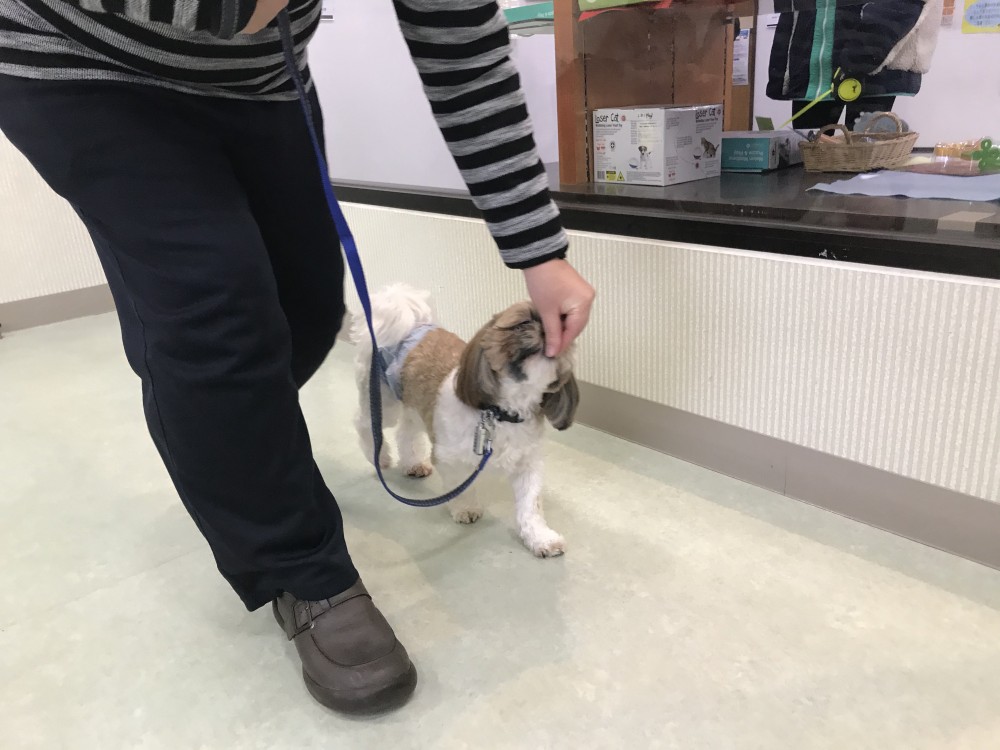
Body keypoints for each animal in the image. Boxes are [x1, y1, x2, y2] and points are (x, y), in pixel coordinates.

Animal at [351, 284, 579, 557]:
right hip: (383, 400)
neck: (499, 412)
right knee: (364, 423)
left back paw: (412, 463)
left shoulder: (528, 464)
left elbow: (530, 507)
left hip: (413, 404)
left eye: (563, 327)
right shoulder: (449, 458)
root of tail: (411, 326)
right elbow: (460, 485)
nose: (548, 332)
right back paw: (380, 456)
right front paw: (465, 508)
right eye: (522, 323)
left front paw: (540, 538)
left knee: (406, 433)